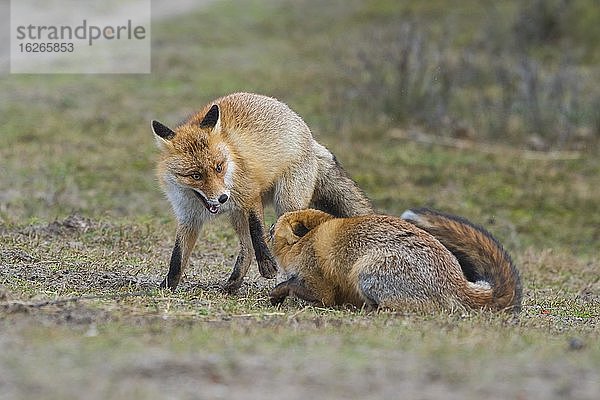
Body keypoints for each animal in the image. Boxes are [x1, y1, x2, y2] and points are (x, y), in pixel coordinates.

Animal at [152, 92, 372, 292]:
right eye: (196, 175)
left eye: (218, 167)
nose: (223, 197)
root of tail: (308, 135)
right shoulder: (188, 218)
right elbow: (177, 257)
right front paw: (166, 287)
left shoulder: (250, 194)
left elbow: (257, 229)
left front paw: (267, 265)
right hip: (237, 215)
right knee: (247, 250)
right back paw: (232, 285)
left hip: (286, 201)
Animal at [270, 208, 524, 314]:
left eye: (273, 228)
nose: (268, 227)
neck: (310, 240)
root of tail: (458, 283)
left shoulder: (321, 287)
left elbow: (294, 286)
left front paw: (276, 294)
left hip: (366, 271)